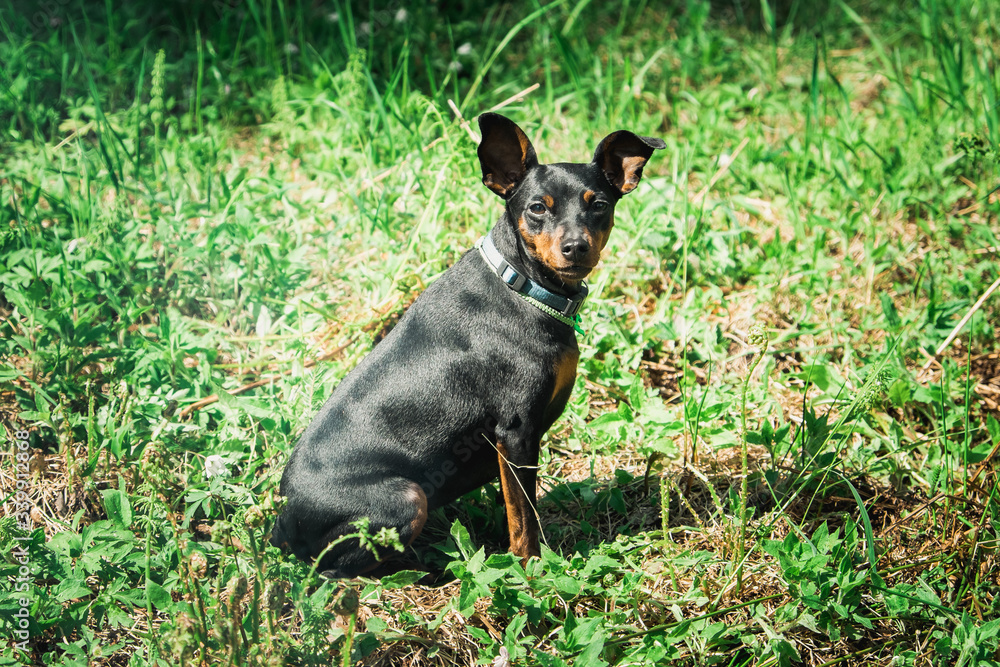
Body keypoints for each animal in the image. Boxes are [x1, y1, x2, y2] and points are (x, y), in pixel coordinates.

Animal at [270, 112, 668, 576]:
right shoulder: (515, 431)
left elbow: (514, 507)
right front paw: (530, 568)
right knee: (333, 571)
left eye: (599, 204)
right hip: (407, 499)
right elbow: (523, 516)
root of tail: (281, 524)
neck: (523, 287)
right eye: (537, 208)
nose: (575, 247)